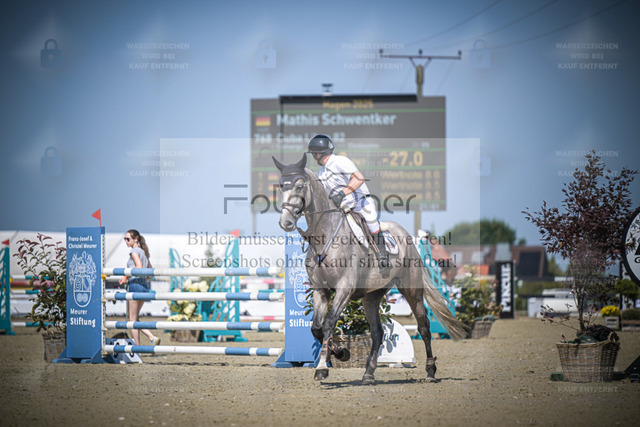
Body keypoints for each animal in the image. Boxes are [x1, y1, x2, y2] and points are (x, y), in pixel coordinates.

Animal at [273, 154, 467, 383]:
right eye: (280, 185)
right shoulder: (321, 291)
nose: (286, 222)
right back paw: (368, 372)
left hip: (411, 290)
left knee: (423, 326)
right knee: (377, 332)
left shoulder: (344, 288)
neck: (324, 235)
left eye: (300, 185)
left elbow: (329, 324)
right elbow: (317, 328)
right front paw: (342, 353)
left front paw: (322, 367)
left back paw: (430, 371)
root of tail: (407, 236)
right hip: (371, 297)